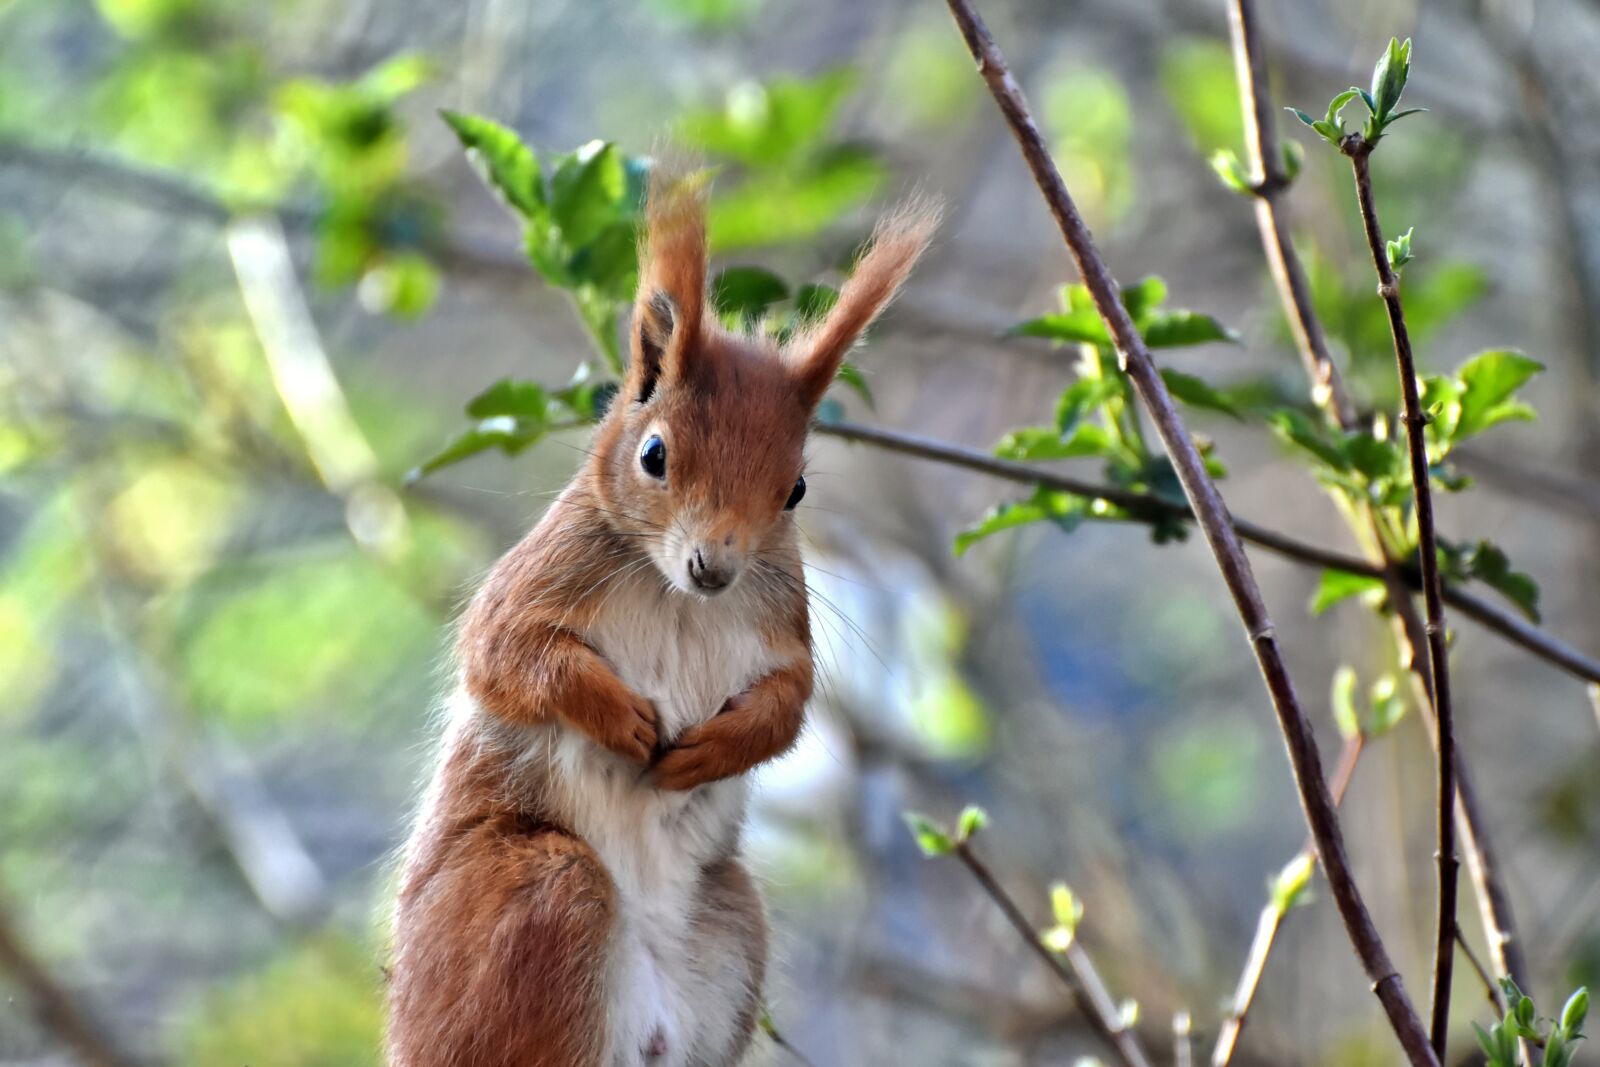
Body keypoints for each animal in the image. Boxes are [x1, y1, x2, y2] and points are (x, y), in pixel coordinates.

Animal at [385, 175, 936, 1067]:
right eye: (654, 455)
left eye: (795, 489)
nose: (715, 566)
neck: (680, 596)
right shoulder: (540, 580)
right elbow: (504, 657)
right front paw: (619, 717)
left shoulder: (781, 625)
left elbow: (788, 707)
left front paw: (712, 749)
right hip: (532, 898)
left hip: (731, 925)